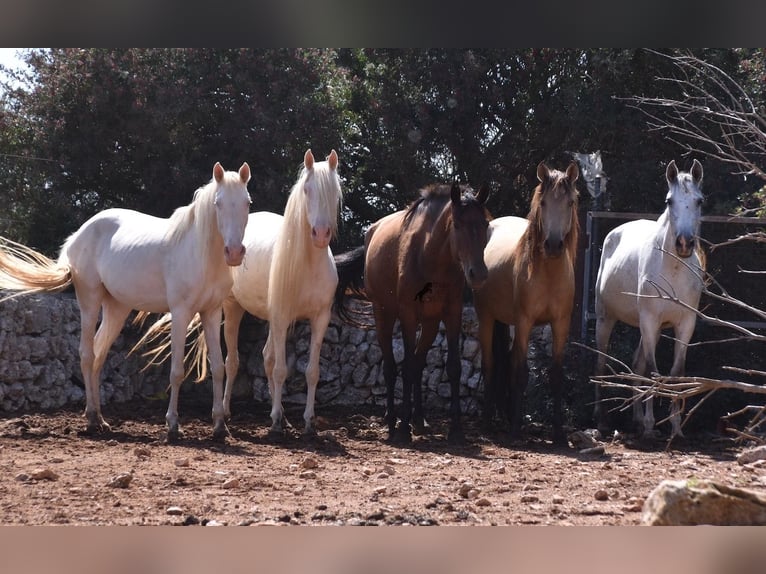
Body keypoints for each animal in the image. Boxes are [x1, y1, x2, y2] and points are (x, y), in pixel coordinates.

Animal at [0, 162, 252, 441]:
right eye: (218, 203)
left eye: (247, 202)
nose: (234, 252)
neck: (201, 254)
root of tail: (78, 235)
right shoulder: (181, 313)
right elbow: (177, 371)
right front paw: (173, 425)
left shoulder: (212, 313)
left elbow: (218, 367)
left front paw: (219, 426)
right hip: (89, 301)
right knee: (86, 354)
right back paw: (91, 419)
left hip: (116, 308)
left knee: (98, 355)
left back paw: (100, 419)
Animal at [140, 149, 342, 436]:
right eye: (307, 189)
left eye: (335, 191)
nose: (321, 234)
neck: (309, 264)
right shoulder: (281, 317)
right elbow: (280, 370)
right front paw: (276, 422)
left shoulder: (320, 319)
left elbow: (311, 372)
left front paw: (308, 422)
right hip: (233, 309)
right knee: (233, 362)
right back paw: (227, 413)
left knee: (265, 358)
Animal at [336, 181, 491, 444]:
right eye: (457, 224)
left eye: (485, 224)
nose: (478, 274)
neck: (430, 257)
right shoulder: (407, 314)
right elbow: (405, 367)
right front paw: (403, 428)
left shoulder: (451, 313)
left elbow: (452, 368)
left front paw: (456, 430)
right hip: (384, 314)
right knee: (391, 367)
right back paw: (392, 419)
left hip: (429, 322)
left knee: (418, 364)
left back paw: (418, 419)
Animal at [474, 161, 579, 445]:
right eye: (543, 202)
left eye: (570, 202)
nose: (553, 245)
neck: (548, 272)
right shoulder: (524, 321)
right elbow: (521, 374)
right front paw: (514, 432)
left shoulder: (561, 324)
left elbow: (556, 375)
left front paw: (559, 434)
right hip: (487, 317)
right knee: (490, 364)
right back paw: (487, 423)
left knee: (507, 361)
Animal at [594, 159, 705, 439]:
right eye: (669, 200)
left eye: (699, 201)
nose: (684, 243)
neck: (672, 270)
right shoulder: (650, 320)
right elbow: (655, 371)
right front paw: (650, 425)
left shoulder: (684, 324)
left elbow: (675, 373)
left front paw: (675, 428)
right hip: (606, 319)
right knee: (600, 364)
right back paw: (602, 422)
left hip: (647, 328)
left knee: (637, 365)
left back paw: (634, 420)